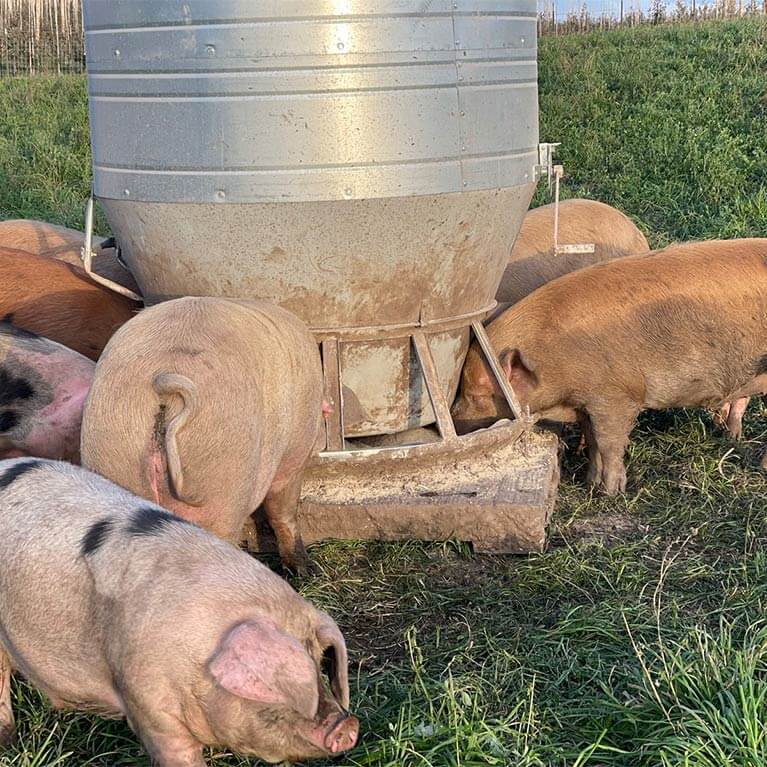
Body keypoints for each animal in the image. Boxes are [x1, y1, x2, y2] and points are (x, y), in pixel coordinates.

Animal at [0, 458, 358, 765]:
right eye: (274, 687)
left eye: (318, 663)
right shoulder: (148, 702)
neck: (198, 654)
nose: (347, 725)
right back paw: (8, 739)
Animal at [81, 296, 324, 571]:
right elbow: (284, 508)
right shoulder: (295, 452)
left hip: (114, 448)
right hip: (223, 473)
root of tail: (165, 377)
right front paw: (304, 567)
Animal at [452, 239, 767, 494]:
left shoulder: (617, 396)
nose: (454, 418)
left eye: (478, 394)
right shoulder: (586, 403)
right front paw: (591, 484)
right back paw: (731, 436)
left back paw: (760, 465)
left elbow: (609, 442)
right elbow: (593, 442)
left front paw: (610, 492)